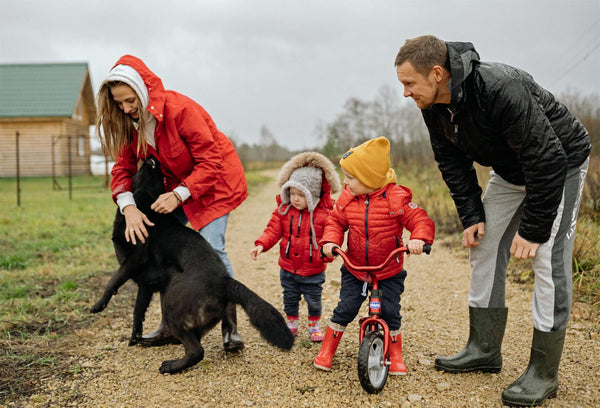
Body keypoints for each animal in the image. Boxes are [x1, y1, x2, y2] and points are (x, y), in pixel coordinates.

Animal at [91, 156, 292, 372]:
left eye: (151, 169)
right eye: (158, 175)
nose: (153, 158)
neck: (147, 205)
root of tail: (223, 281)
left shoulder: (133, 260)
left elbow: (113, 280)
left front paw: (98, 305)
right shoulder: (146, 286)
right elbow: (138, 311)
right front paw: (134, 337)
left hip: (173, 304)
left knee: (197, 351)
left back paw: (172, 366)